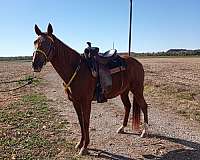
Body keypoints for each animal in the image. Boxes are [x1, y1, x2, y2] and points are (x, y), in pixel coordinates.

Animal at [32, 23, 148, 155]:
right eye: (35, 42)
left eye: (48, 43)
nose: (35, 64)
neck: (76, 69)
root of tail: (138, 63)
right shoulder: (76, 101)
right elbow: (81, 121)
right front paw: (80, 144)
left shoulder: (86, 102)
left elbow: (86, 121)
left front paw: (85, 147)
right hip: (124, 91)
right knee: (127, 106)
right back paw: (122, 128)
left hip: (137, 90)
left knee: (144, 106)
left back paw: (144, 131)